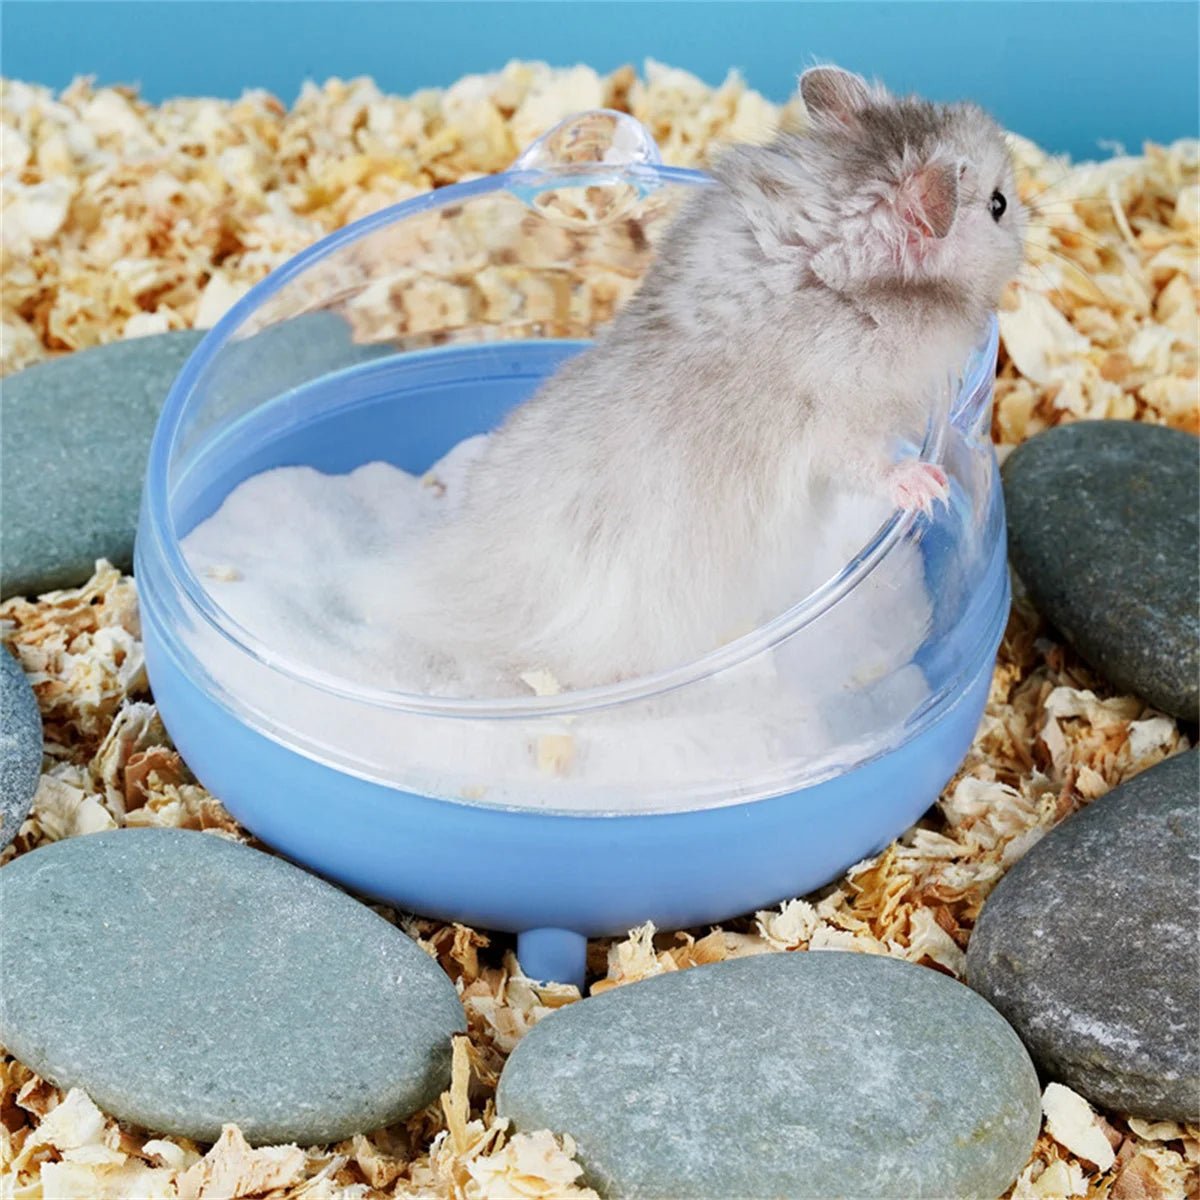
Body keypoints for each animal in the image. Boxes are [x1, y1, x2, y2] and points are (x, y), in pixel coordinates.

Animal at [397, 66, 1027, 693]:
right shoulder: (833, 419)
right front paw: (928, 485)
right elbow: (867, 464)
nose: (1031, 221)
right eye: (997, 203)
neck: (835, 256)